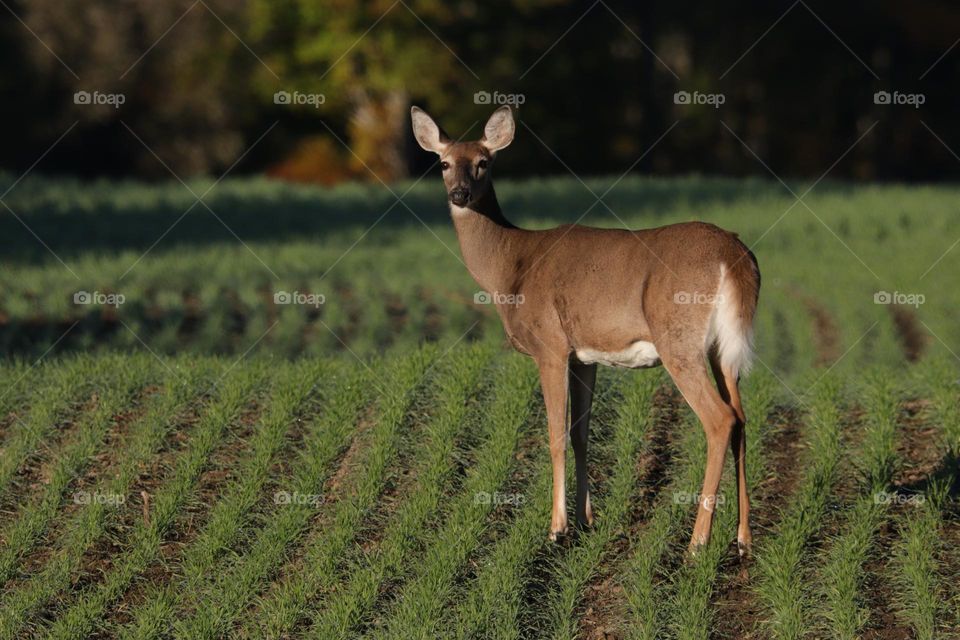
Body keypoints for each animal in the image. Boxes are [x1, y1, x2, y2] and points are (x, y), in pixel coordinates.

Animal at [411, 104, 760, 556]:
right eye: (444, 163)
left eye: (484, 162)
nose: (460, 195)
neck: (511, 269)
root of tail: (735, 255)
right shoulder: (584, 356)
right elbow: (581, 434)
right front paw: (585, 520)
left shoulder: (550, 345)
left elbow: (555, 434)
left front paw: (556, 529)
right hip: (722, 348)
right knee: (742, 418)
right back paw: (743, 539)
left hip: (678, 340)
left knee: (720, 420)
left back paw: (696, 544)